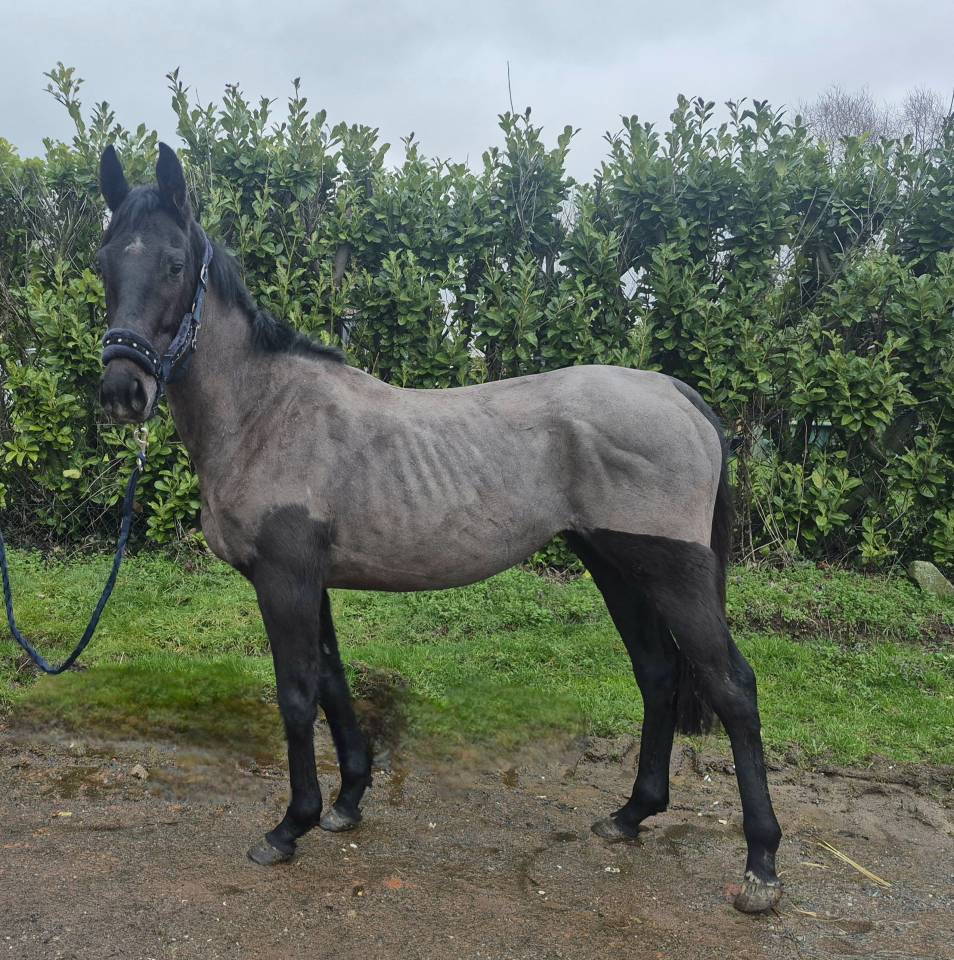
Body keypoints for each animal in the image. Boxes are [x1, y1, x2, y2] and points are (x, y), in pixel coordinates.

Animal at [94, 143, 782, 913]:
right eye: (104, 260)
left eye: (174, 264)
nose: (122, 390)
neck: (265, 412)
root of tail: (678, 392)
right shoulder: (313, 581)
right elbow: (333, 680)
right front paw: (347, 801)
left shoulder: (284, 578)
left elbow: (297, 693)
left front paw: (289, 826)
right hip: (615, 565)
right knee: (658, 673)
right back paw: (631, 814)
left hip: (672, 572)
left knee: (733, 687)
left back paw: (760, 865)